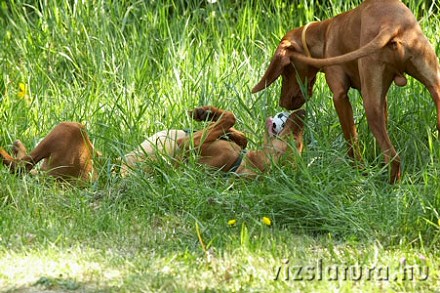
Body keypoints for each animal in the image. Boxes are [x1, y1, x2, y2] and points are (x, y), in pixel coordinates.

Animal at [251, 0, 440, 182]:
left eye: (286, 70)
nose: (282, 103)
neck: (324, 33)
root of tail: (392, 24)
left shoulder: (339, 97)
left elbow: (351, 140)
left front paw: (358, 170)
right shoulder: (382, 99)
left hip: (371, 106)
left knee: (393, 158)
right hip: (433, 87)